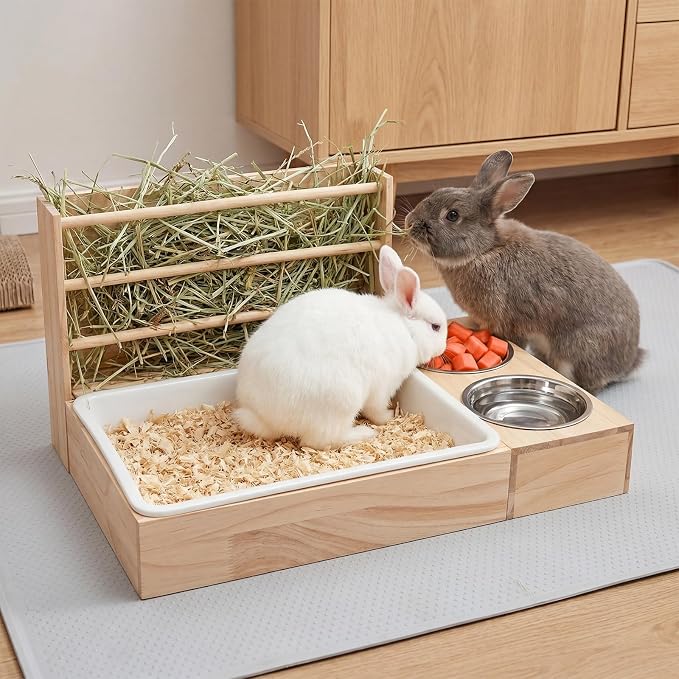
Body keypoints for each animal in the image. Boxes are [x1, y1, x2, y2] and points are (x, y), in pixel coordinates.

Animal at [233, 245, 448, 449]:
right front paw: (389, 416)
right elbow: (376, 410)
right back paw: (363, 433)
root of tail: (262, 416)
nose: (443, 348)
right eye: (435, 327)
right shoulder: (383, 387)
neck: (405, 328)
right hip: (342, 402)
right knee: (319, 441)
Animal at [404, 150, 644, 394]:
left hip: (576, 352)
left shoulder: (509, 324)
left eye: (452, 215)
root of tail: (628, 362)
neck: (485, 250)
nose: (409, 222)